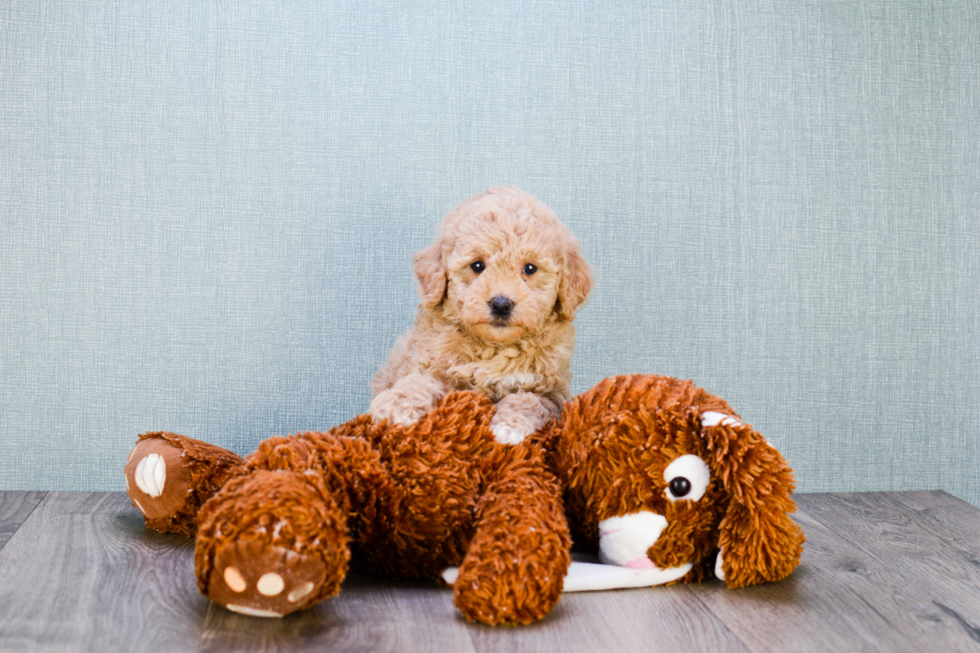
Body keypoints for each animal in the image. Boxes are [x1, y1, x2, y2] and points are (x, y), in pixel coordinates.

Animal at [370, 186, 592, 446]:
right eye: (477, 266)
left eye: (530, 268)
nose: (501, 304)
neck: (493, 348)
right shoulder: (429, 365)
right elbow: (417, 382)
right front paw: (393, 404)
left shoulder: (552, 393)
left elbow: (527, 400)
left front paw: (509, 428)